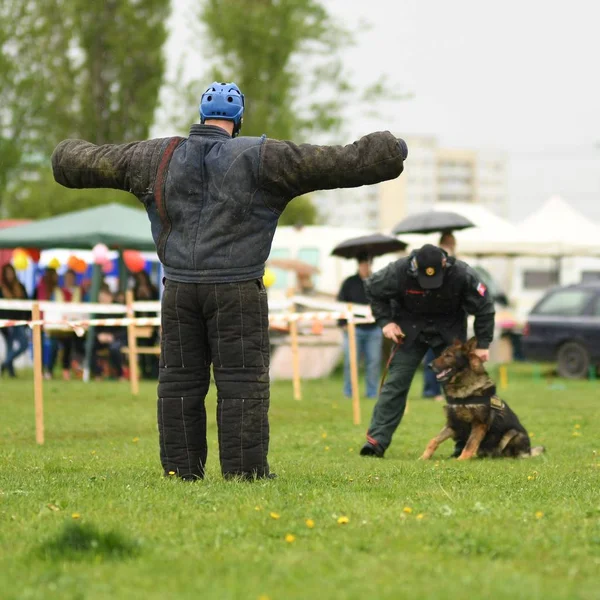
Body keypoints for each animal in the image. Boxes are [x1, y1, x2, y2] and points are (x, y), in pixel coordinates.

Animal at [420, 338, 548, 460]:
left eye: (448, 356)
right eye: (442, 354)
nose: (429, 366)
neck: (463, 390)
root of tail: (529, 451)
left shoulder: (479, 424)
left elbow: (470, 444)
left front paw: (461, 460)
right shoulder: (453, 423)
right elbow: (434, 440)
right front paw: (424, 457)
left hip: (513, 433)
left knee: (512, 454)